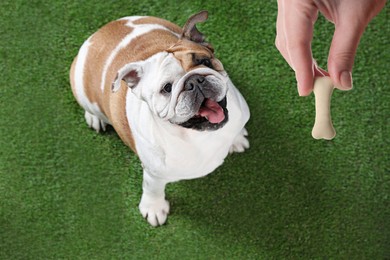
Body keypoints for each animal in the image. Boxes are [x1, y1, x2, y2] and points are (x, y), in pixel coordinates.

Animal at [70, 10, 250, 225]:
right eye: (167, 88)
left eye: (205, 62)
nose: (194, 80)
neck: (198, 135)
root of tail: (99, 33)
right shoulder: (154, 174)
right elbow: (153, 189)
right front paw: (153, 208)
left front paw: (237, 139)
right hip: (82, 91)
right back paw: (95, 118)